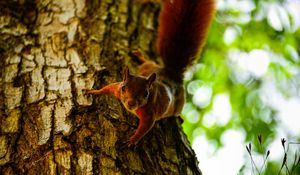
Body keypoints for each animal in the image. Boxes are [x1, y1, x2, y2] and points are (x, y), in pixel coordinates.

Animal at [86, 0, 216, 145]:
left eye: (146, 94)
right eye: (124, 88)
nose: (131, 103)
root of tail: (172, 73)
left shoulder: (149, 114)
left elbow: (144, 128)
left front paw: (132, 140)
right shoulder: (117, 89)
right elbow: (108, 87)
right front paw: (93, 92)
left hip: (180, 102)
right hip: (149, 66)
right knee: (148, 61)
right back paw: (139, 56)